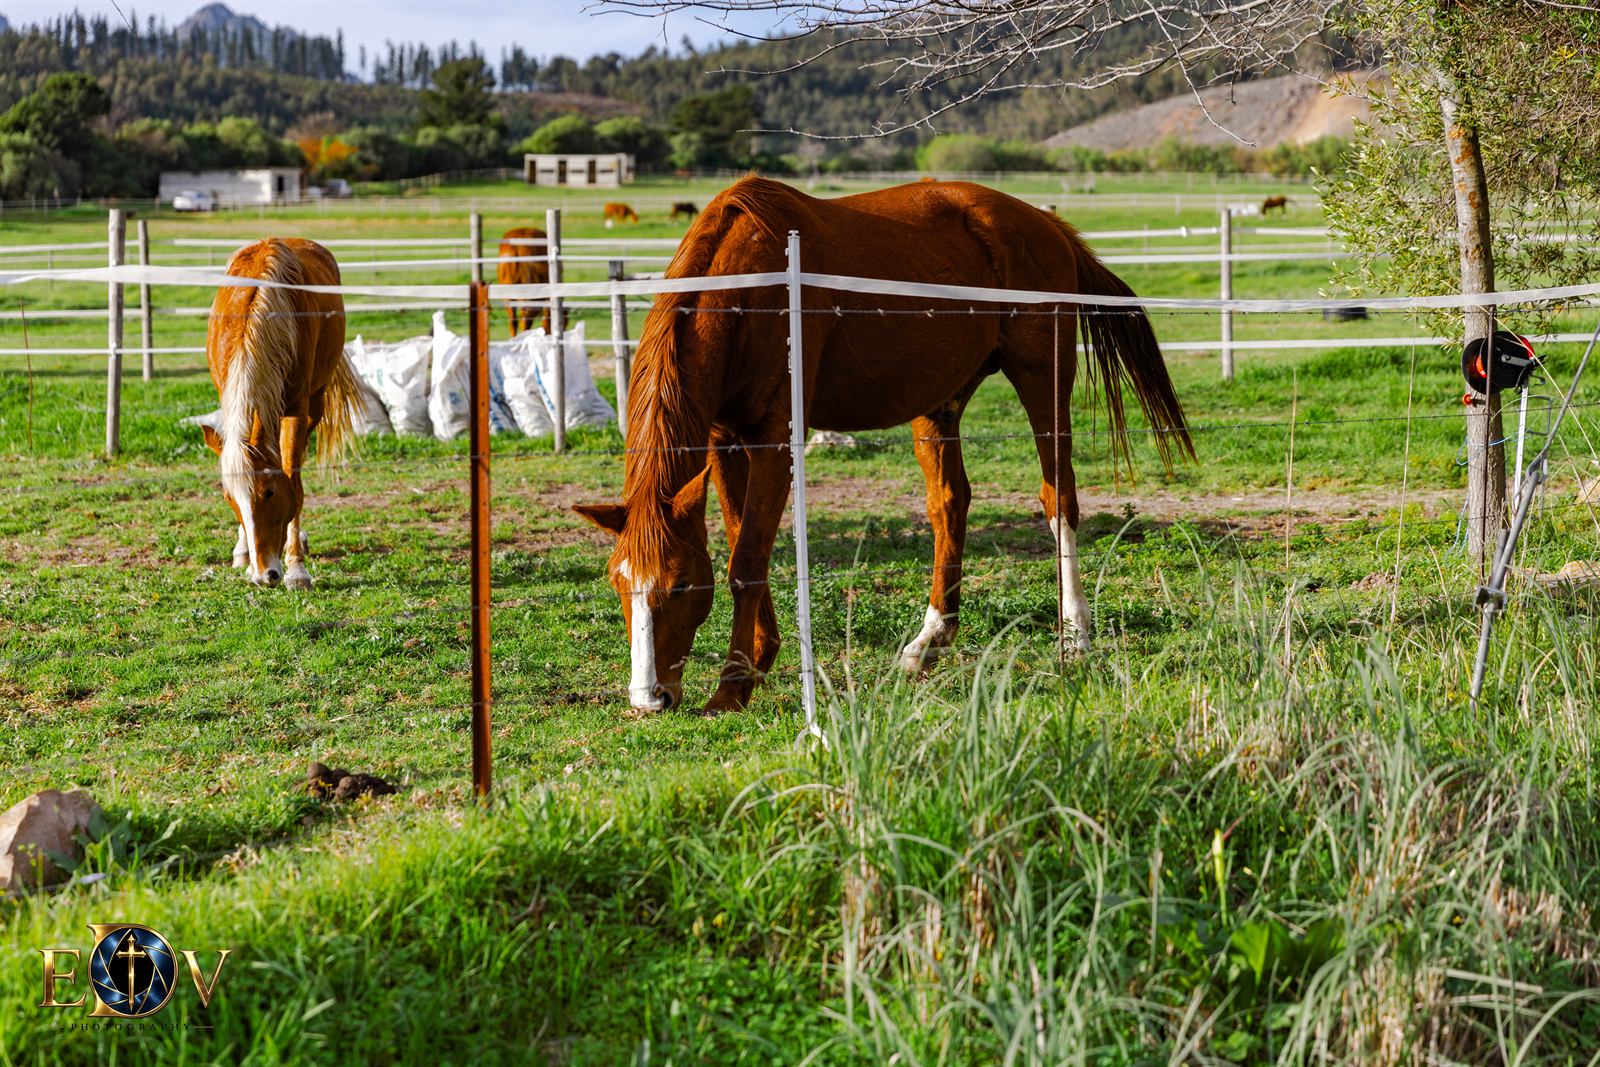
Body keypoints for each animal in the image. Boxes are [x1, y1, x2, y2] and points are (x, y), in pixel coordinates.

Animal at [199, 238, 358, 589]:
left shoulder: (297, 412)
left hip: (314, 405)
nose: (264, 575)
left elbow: (294, 484)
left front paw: (296, 568)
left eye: (269, 492)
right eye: (229, 498)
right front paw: (244, 553)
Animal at [573, 176, 1192, 714]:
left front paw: (731, 687)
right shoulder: (724, 439)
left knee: (1058, 497)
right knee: (950, 504)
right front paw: (757, 660)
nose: (648, 698)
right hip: (940, 400)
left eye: (678, 584)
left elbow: (747, 559)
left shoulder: (775, 438)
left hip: (1044, 380)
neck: (747, 289)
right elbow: (739, 544)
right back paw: (931, 639)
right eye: (618, 583)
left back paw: (1075, 637)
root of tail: (1047, 225)